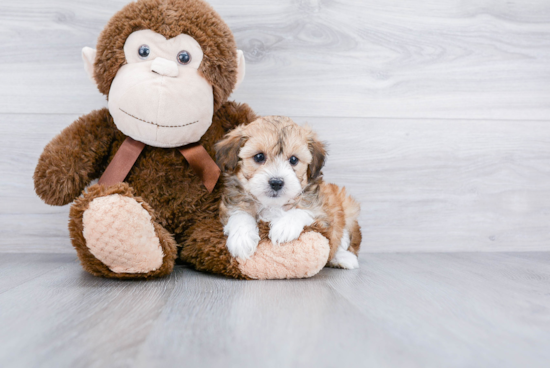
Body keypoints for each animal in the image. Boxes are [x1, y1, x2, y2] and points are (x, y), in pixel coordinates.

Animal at [216, 115, 362, 268]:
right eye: (259, 157)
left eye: (293, 159)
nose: (276, 182)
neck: (272, 205)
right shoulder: (233, 202)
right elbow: (239, 213)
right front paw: (242, 238)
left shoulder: (323, 212)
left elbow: (303, 210)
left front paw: (284, 227)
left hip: (347, 209)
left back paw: (345, 258)